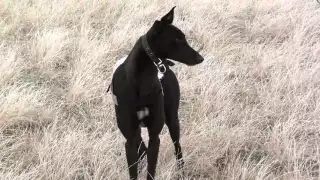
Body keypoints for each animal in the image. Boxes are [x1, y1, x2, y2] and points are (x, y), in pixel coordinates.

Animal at [110, 6, 204, 179]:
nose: (200, 58)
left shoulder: (155, 137)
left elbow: (151, 169)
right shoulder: (130, 138)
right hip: (136, 132)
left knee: (177, 147)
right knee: (141, 148)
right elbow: (134, 167)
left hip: (173, 119)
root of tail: (165, 66)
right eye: (178, 40)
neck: (140, 80)